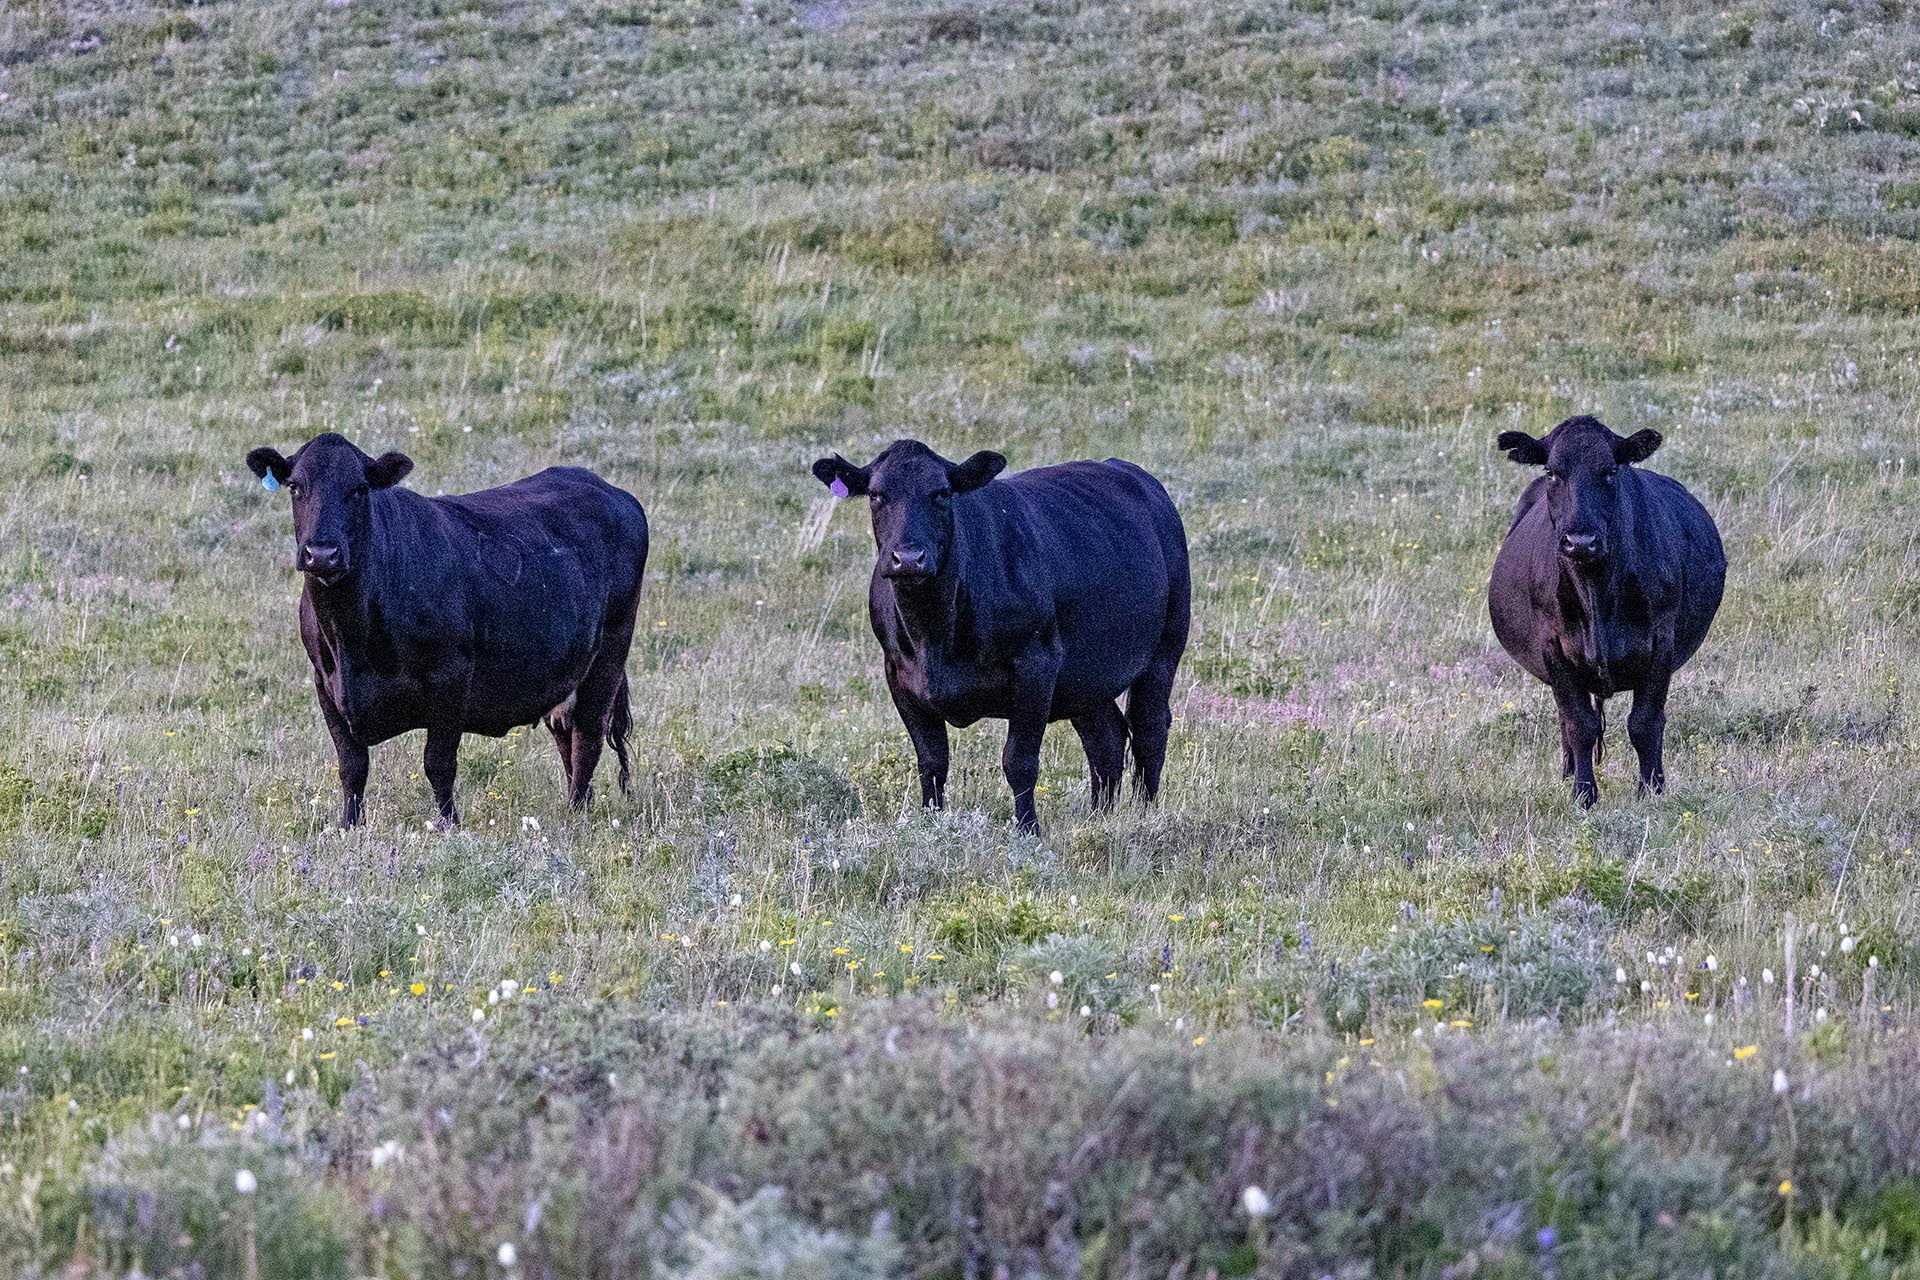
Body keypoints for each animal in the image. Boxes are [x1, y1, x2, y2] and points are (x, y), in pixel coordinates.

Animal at [245, 432, 649, 827]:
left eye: (359, 488)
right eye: (295, 486)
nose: (322, 553)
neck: (351, 639)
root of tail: (602, 485)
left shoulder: (451, 678)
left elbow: (438, 763)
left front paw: (448, 826)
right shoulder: (325, 682)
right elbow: (352, 765)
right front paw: (349, 827)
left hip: (609, 653)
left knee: (588, 737)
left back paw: (576, 817)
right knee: (567, 736)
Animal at [812, 439, 1190, 834]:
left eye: (941, 492)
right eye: (875, 494)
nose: (909, 558)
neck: (934, 635)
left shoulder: (1036, 667)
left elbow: (1019, 761)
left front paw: (1028, 830)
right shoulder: (899, 676)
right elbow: (932, 762)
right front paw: (931, 825)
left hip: (1164, 650)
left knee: (1149, 729)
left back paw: (1145, 815)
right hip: (1086, 678)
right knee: (1106, 740)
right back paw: (1099, 818)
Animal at [1488, 415, 1725, 806]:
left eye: (1611, 471)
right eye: (1552, 472)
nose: (1580, 541)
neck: (1596, 593)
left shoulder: (1661, 641)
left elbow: (1645, 722)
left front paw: (1651, 789)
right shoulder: (1553, 646)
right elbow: (1580, 724)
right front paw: (1583, 794)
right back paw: (1569, 772)